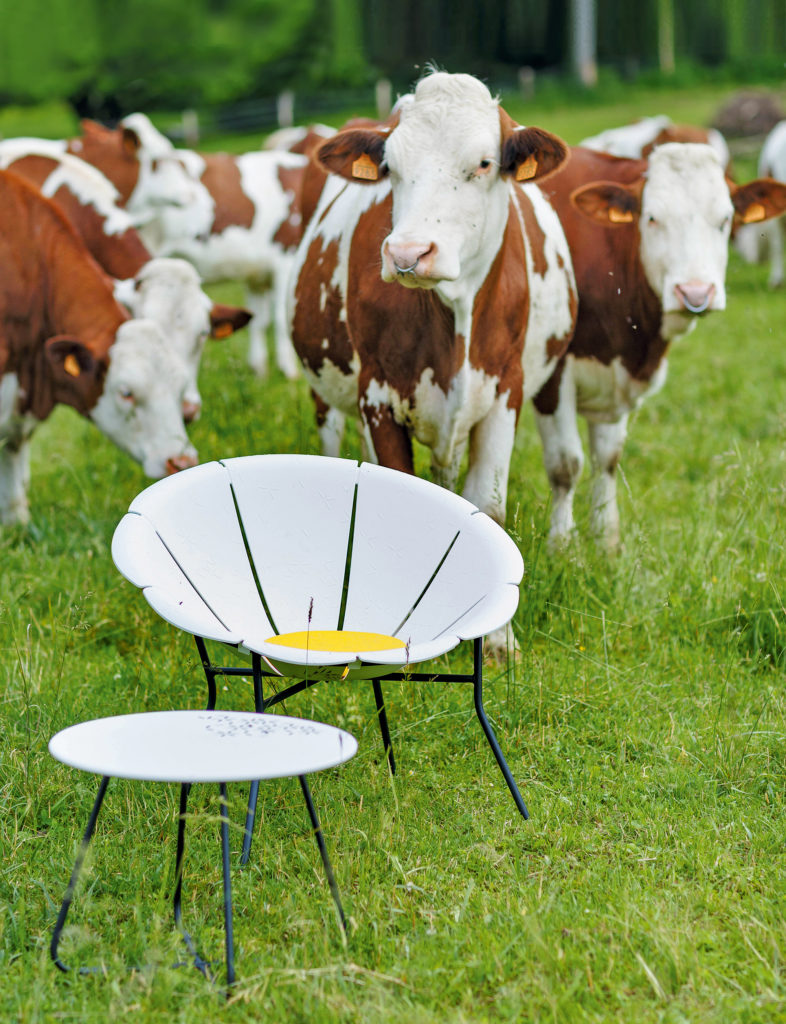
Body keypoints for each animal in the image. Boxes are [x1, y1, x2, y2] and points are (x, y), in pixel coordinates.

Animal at [110, 112, 307, 382]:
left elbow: (259, 320)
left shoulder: (256, 273)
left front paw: (259, 371)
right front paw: (289, 372)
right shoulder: (286, 258)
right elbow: (281, 318)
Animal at [288, 70, 577, 528]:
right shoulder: (376, 392)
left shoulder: (504, 388)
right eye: (390, 167)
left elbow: (486, 506)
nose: (407, 253)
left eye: (484, 163)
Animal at [532, 142, 786, 552]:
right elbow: (565, 464)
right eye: (652, 218)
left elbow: (607, 457)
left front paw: (606, 541)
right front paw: (561, 546)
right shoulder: (552, 374)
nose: (696, 293)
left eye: (725, 219)